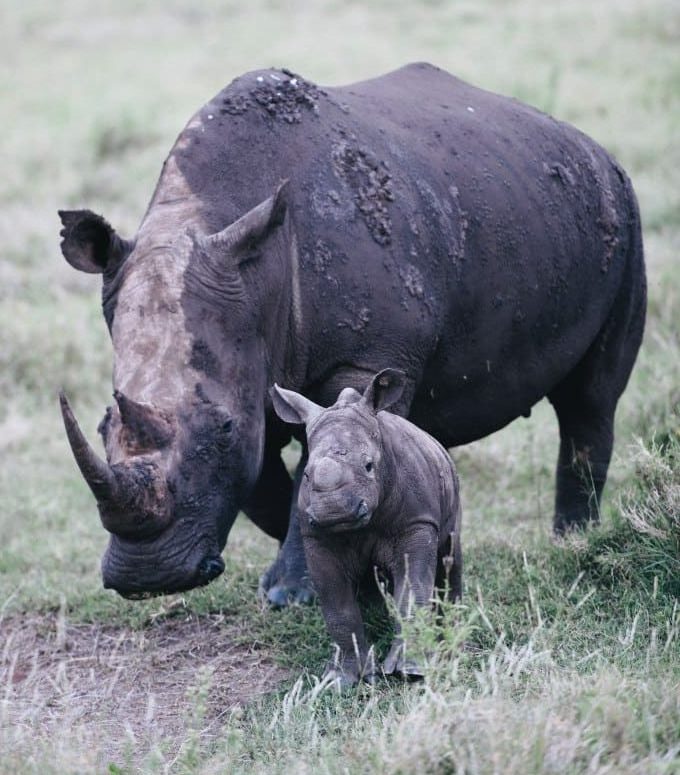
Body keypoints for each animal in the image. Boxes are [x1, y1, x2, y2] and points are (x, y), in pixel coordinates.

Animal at [58, 62, 646, 603]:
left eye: (221, 429)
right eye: (103, 426)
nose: (148, 578)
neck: (256, 274)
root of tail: (592, 147)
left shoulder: (370, 357)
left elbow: (321, 451)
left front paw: (293, 592)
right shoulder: (256, 365)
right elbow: (274, 476)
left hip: (622, 213)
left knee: (591, 399)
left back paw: (570, 544)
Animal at [272, 369, 462, 685]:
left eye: (369, 466)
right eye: (307, 475)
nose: (334, 510)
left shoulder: (417, 522)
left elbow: (412, 593)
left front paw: (411, 671)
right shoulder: (316, 537)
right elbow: (338, 607)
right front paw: (343, 678)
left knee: (451, 553)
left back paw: (453, 624)